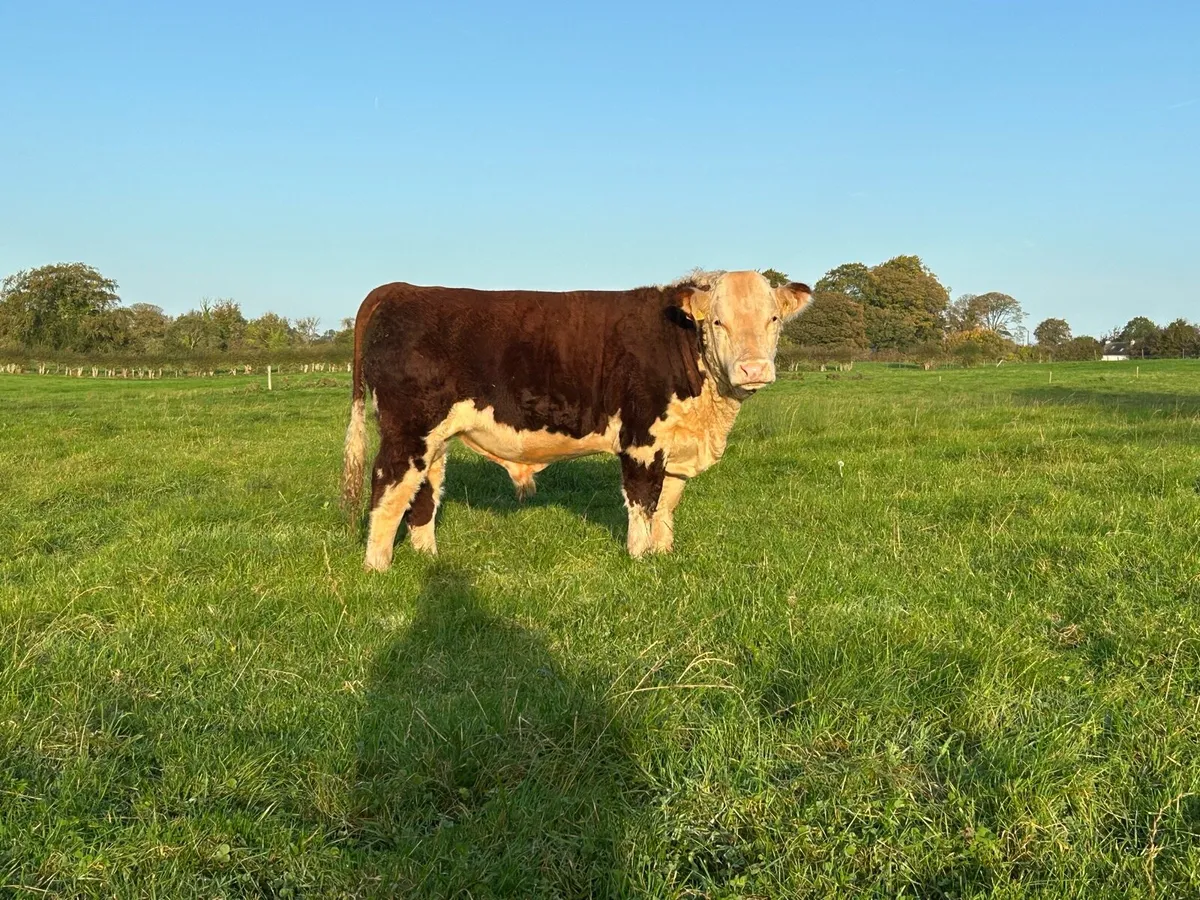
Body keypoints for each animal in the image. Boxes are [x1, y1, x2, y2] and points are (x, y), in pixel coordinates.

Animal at [342, 270, 812, 571]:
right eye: (718, 321)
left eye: (773, 319)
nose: (754, 369)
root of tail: (402, 288)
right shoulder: (641, 439)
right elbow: (643, 502)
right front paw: (640, 560)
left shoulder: (677, 445)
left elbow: (667, 504)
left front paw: (664, 555)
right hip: (407, 430)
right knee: (387, 491)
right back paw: (377, 567)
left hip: (435, 439)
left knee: (422, 493)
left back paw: (428, 559)